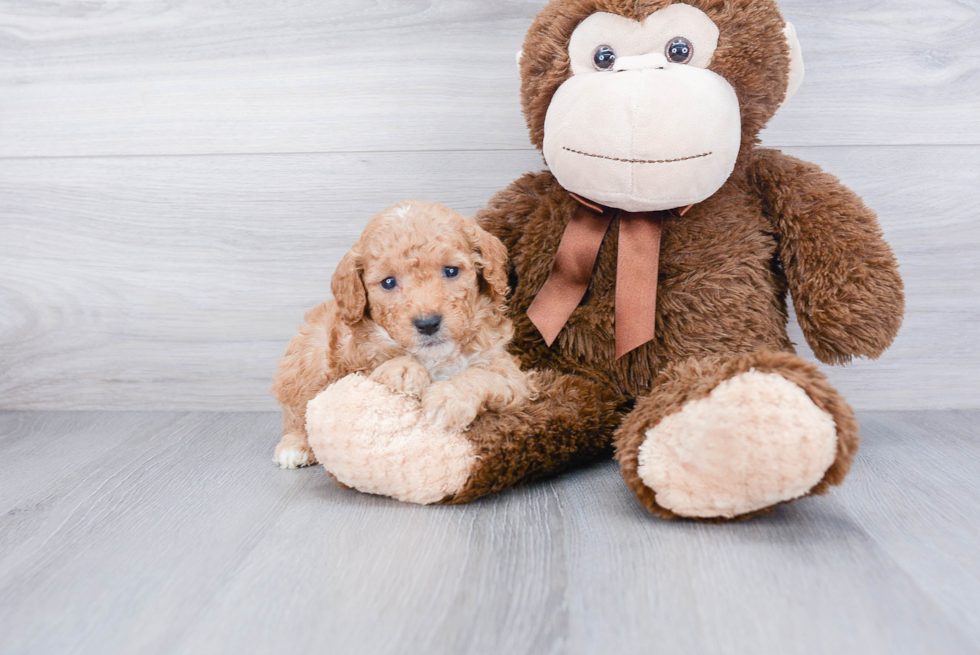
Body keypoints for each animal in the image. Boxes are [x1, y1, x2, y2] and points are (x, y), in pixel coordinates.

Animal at [270, 199, 528, 466]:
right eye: (388, 282)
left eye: (451, 271)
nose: (428, 324)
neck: (436, 357)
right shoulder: (352, 366)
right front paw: (404, 370)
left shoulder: (511, 374)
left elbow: (484, 376)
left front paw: (448, 398)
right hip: (311, 350)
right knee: (298, 409)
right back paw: (294, 445)